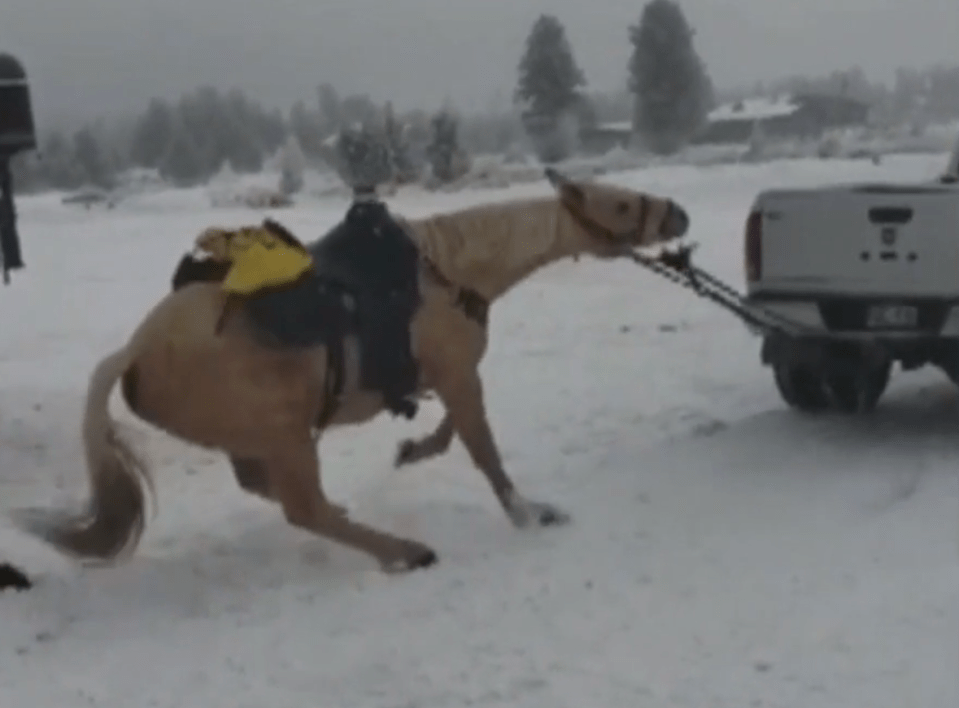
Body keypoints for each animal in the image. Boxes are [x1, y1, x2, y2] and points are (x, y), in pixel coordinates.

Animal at [15, 167, 688, 576]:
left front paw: (413, 449)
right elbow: (483, 450)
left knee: (274, 492)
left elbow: (453, 432)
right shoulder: (459, 376)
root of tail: (132, 351)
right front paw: (529, 514)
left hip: (259, 438)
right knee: (300, 508)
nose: (677, 213)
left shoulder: (449, 376)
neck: (446, 271)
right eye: (619, 203)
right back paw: (405, 551)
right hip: (285, 434)